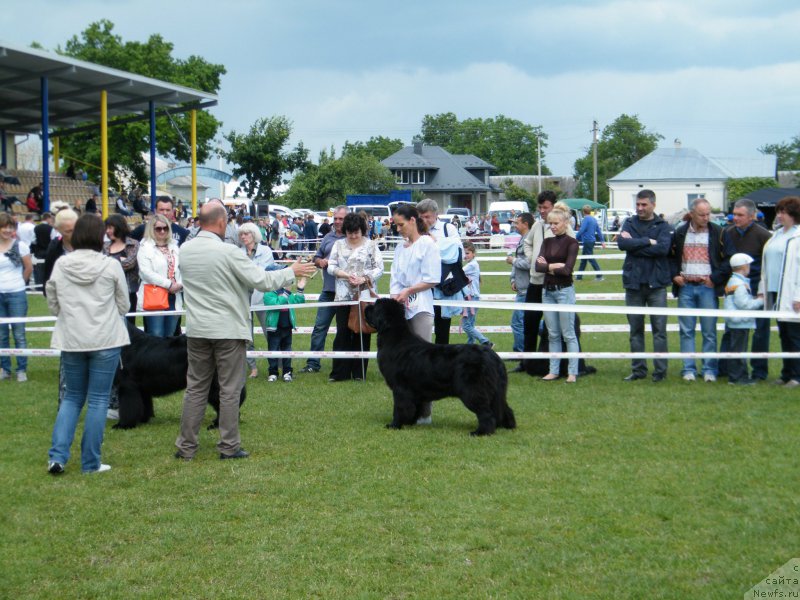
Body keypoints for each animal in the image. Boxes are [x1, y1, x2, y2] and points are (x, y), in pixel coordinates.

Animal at [364, 298, 516, 436]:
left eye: (375, 306)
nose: (366, 306)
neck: (394, 338)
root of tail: (493, 356)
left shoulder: (400, 388)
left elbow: (400, 408)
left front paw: (395, 425)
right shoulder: (414, 391)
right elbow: (414, 407)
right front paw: (410, 422)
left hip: (473, 390)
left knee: (486, 412)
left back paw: (481, 432)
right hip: (497, 390)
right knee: (504, 408)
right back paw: (508, 425)